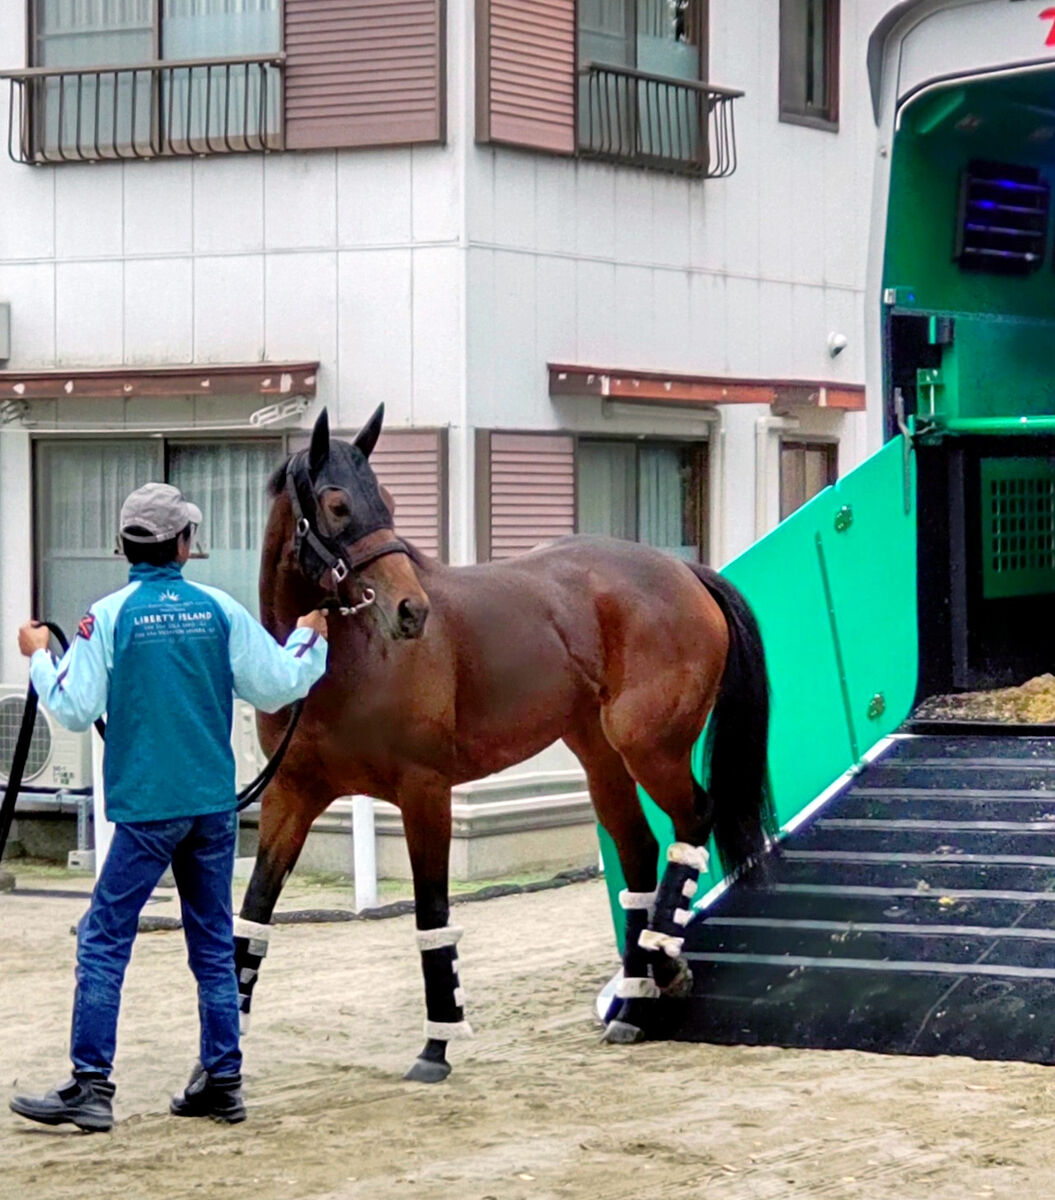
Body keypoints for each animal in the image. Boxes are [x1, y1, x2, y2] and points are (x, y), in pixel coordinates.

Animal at [235, 408, 772, 1084]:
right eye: (337, 505)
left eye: (387, 502)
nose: (411, 610)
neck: (343, 662)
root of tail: (684, 572)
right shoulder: (291, 793)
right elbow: (251, 916)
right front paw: (211, 1070)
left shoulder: (424, 792)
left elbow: (432, 915)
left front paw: (436, 1047)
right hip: (600, 756)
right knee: (639, 847)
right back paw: (632, 1000)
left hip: (650, 749)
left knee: (692, 819)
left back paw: (662, 961)